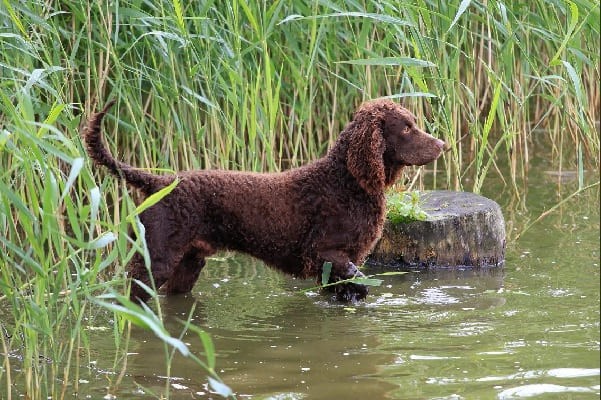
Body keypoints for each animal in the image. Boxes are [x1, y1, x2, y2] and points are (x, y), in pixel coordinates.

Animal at [84, 99, 442, 300]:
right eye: (406, 128)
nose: (442, 144)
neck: (346, 181)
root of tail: (159, 181)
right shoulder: (325, 252)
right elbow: (358, 280)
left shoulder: (334, 265)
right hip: (155, 260)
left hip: (188, 264)